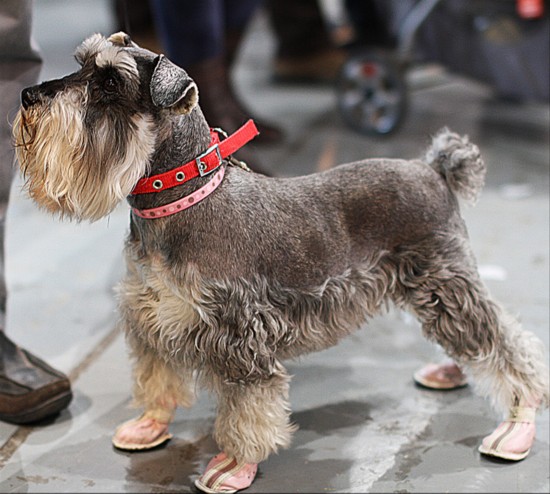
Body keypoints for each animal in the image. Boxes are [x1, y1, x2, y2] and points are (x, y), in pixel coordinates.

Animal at [14, 32, 550, 492]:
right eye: (83, 63)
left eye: (109, 83)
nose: (27, 95)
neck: (181, 202)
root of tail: (435, 171)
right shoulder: (150, 316)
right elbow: (156, 376)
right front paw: (149, 424)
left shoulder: (240, 340)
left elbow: (246, 411)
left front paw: (234, 464)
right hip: (435, 288)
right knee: (480, 339)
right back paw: (449, 373)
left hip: (446, 284)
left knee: (508, 348)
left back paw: (517, 425)